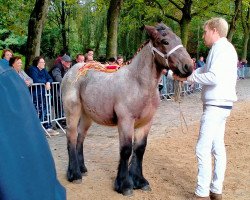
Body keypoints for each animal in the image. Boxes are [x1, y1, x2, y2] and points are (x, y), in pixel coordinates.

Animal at [61, 22, 193, 196]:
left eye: (178, 39)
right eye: (165, 41)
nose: (188, 66)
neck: (138, 84)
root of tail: (72, 70)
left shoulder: (146, 123)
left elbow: (140, 149)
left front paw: (140, 181)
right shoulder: (125, 121)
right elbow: (126, 150)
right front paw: (124, 185)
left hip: (87, 115)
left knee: (80, 137)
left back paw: (82, 168)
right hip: (73, 112)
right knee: (71, 136)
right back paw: (74, 174)